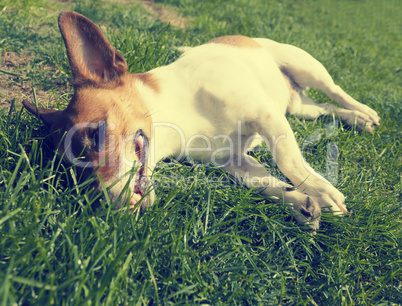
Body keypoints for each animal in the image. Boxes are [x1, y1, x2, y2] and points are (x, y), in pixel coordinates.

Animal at [22, 11, 380, 232]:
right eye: (71, 175)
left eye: (93, 138)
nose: (98, 204)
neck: (179, 116)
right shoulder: (234, 161)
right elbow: (263, 183)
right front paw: (299, 202)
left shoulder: (266, 116)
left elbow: (289, 161)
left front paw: (321, 190)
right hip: (301, 108)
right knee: (324, 108)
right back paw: (356, 119)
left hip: (305, 66)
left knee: (335, 92)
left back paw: (365, 112)